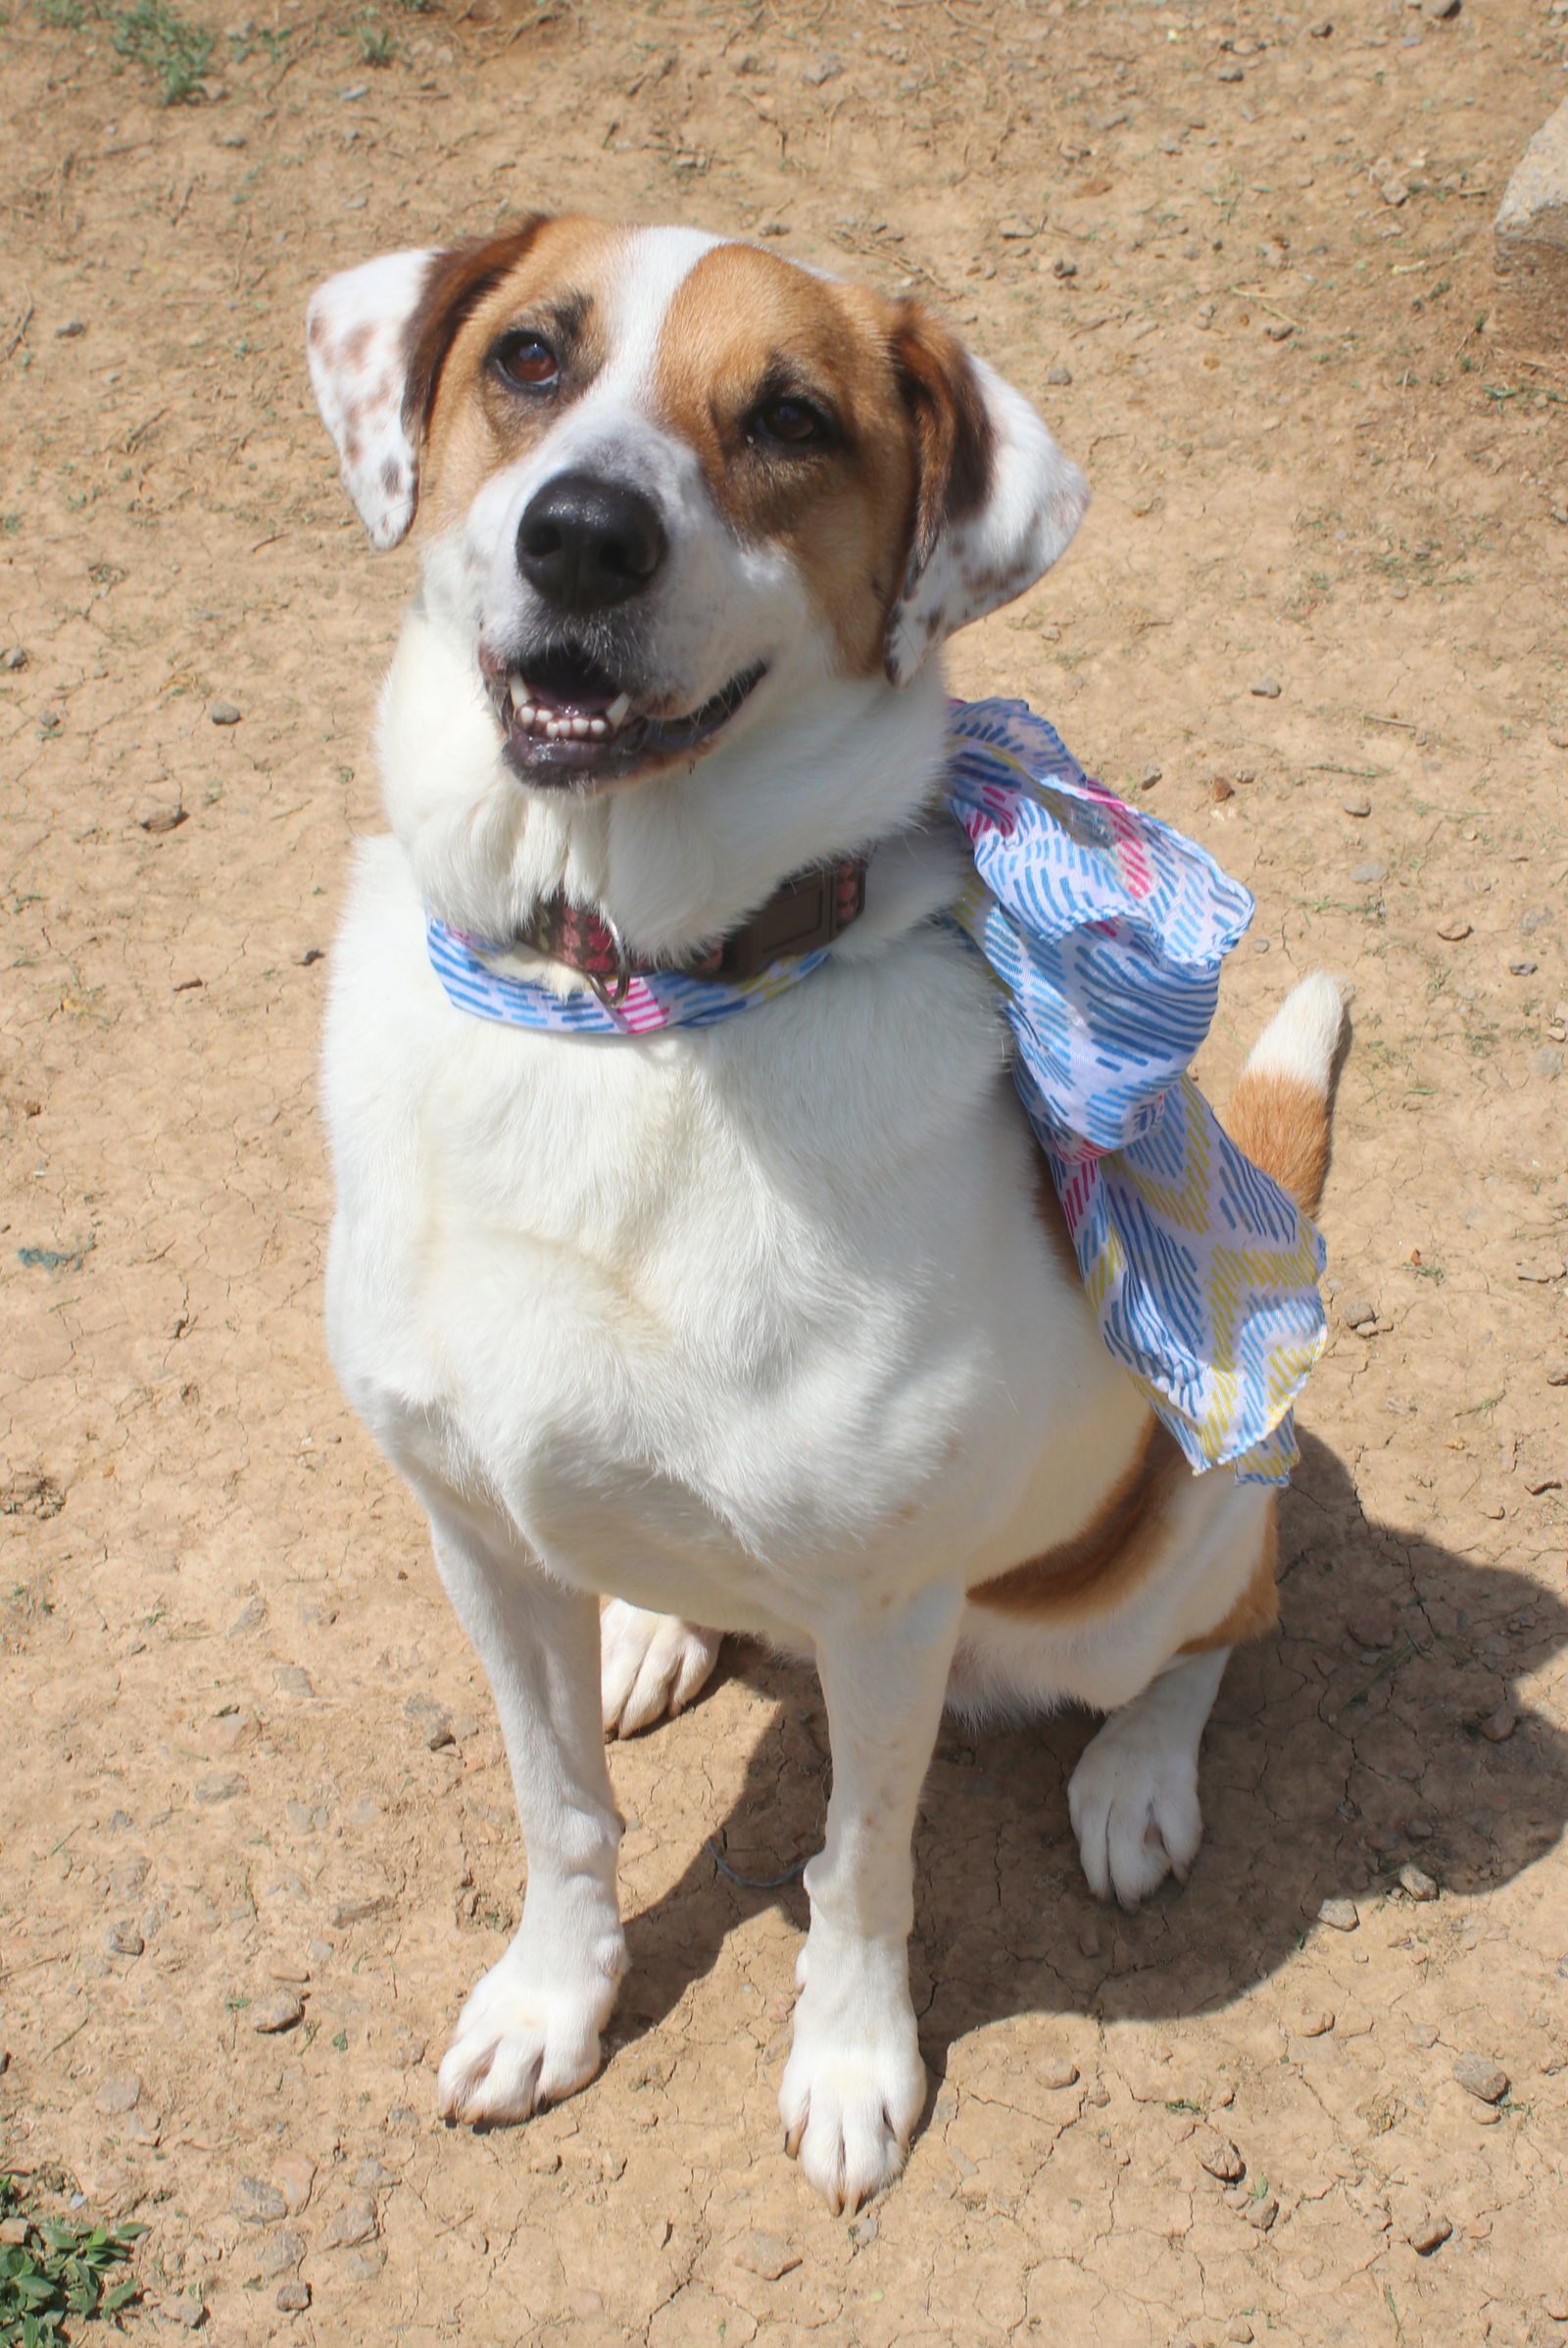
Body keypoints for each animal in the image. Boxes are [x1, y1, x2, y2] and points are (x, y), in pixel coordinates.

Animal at [310, 211, 1351, 2207]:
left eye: (789, 416)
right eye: (532, 356)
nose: (582, 534)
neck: (628, 1009)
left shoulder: (884, 1613)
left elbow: (860, 1873)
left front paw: (856, 2068)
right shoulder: (475, 1533)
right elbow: (560, 1811)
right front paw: (552, 2000)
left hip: (1159, 1547)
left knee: (1218, 1631)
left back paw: (1136, 1780)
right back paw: (660, 1627)